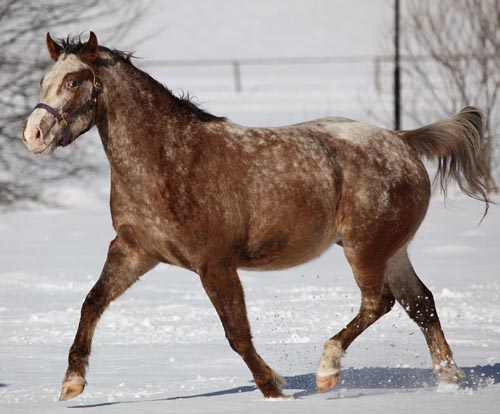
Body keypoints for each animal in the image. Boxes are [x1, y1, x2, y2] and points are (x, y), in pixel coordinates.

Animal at [21, 32, 490, 402]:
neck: (169, 162)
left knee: (379, 303)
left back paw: (328, 370)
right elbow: (92, 302)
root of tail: (402, 140)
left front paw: (273, 387)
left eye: (74, 80)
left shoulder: (215, 264)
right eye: (45, 81)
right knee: (421, 304)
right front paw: (72, 383)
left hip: (365, 248)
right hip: (392, 250)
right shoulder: (134, 252)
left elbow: (236, 332)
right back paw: (449, 380)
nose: (33, 135)